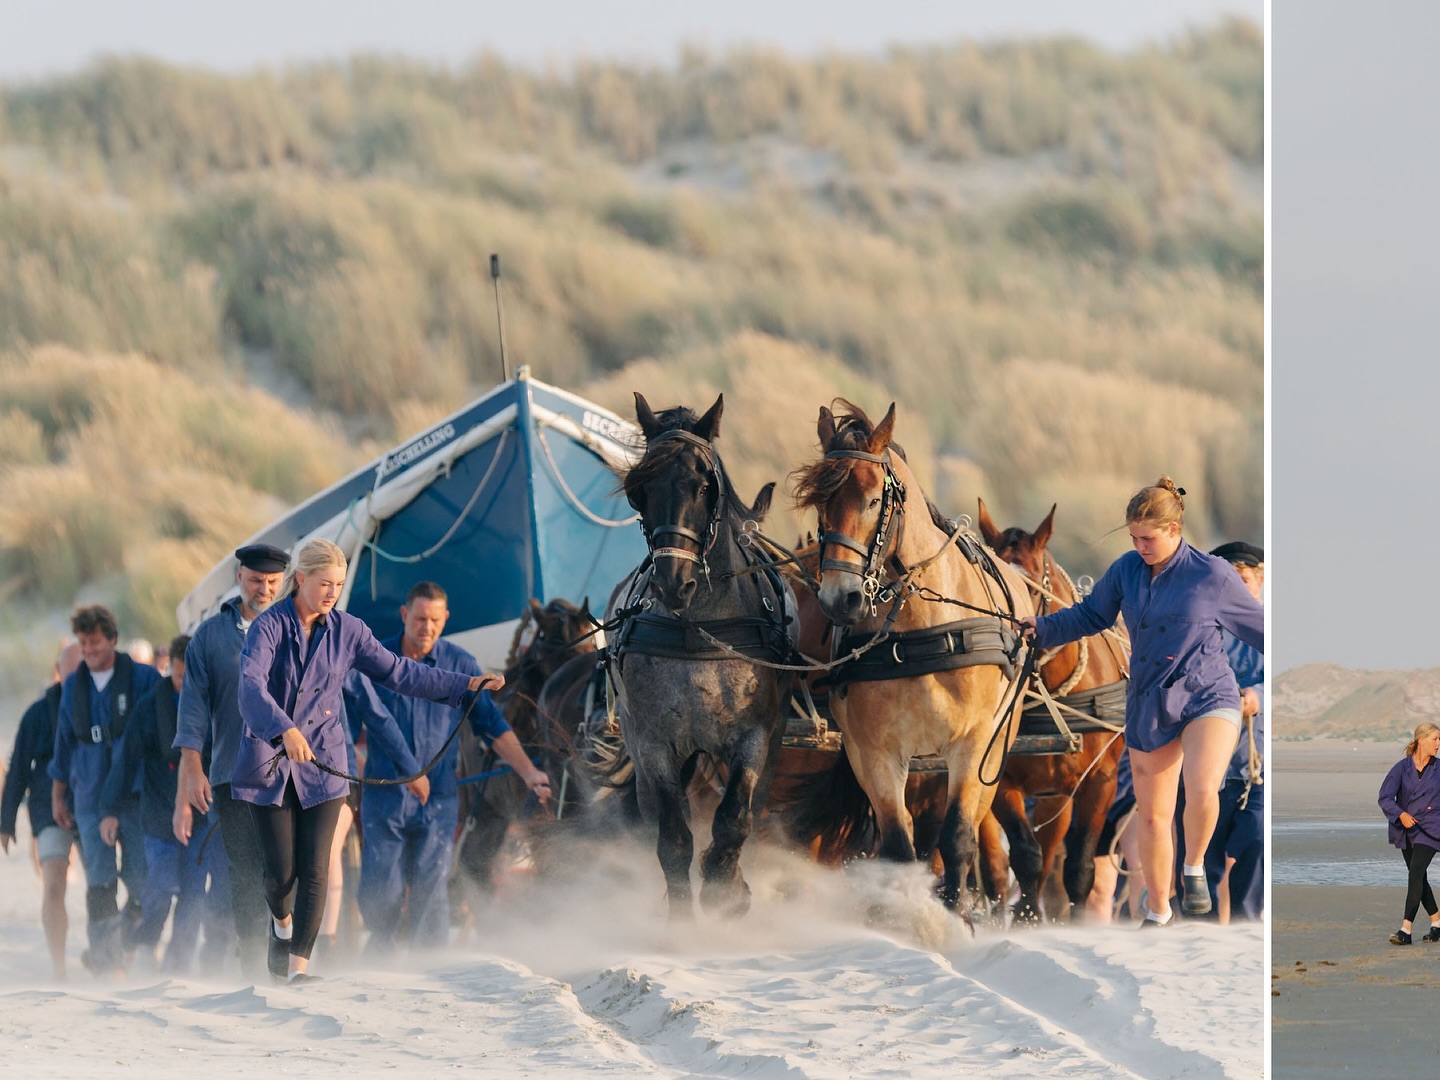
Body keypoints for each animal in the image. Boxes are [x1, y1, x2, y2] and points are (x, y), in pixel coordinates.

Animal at [605, 392, 798, 919]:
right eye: (639, 489)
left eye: (704, 485)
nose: (674, 583)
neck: (700, 628)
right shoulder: (654, 744)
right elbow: (673, 837)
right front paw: (683, 916)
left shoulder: (754, 737)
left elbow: (734, 817)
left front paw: (724, 887)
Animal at [790, 400, 1035, 912]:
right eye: (821, 506)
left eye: (872, 500)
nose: (839, 599)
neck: (920, 632)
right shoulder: (874, 753)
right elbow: (898, 850)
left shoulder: (974, 743)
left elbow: (957, 839)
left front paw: (956, 915)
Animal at [975, 499, 1129, 924]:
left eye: (1030, 587)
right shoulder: (998, 779)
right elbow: (1025, 856)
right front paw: (1025, 916)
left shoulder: (1100, 781)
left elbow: (1078, 864)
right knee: (997, 863)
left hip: (1058, 794)